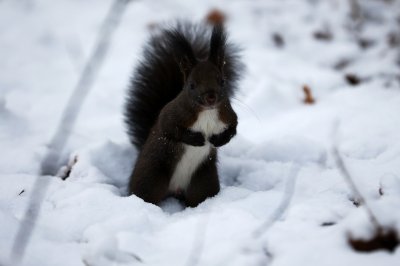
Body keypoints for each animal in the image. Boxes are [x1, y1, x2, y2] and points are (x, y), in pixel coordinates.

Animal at [125, 21, 242, 207]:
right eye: (192, 85)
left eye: (222, 81)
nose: (211, 97)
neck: (207, 112)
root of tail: (175, 189)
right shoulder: (171, 114)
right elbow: (170, 129)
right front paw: (196, 139)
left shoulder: (228, 115)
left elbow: (233, 129)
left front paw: (218, 140)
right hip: (151, 178)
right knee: (145, 194)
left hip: (204, 182)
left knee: (199, 196)